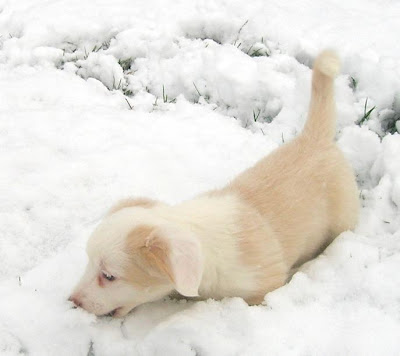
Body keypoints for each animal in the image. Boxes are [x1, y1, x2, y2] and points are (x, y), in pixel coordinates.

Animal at [69, 50, 360, 318]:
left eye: (109, 276)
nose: (72, 301)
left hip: (343, 218)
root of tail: (315, 137)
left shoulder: (263, 286)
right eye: (88, 262)